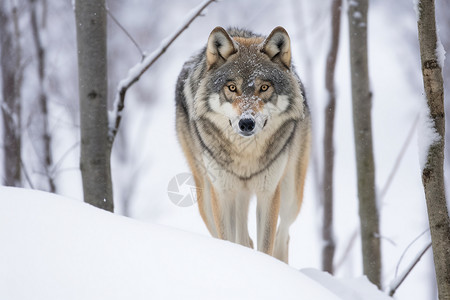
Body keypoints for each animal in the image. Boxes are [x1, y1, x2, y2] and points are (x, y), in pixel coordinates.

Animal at [175, 27, 310, 264]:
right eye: (232, 87)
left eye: (264, 87)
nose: (246, 123)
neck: (245, 155)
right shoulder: (223, 194)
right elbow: (228, 239)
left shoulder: (268, 192)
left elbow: (266, 245)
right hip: (207, 199)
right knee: (243, 240)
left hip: (290, 195)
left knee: (283, 234)